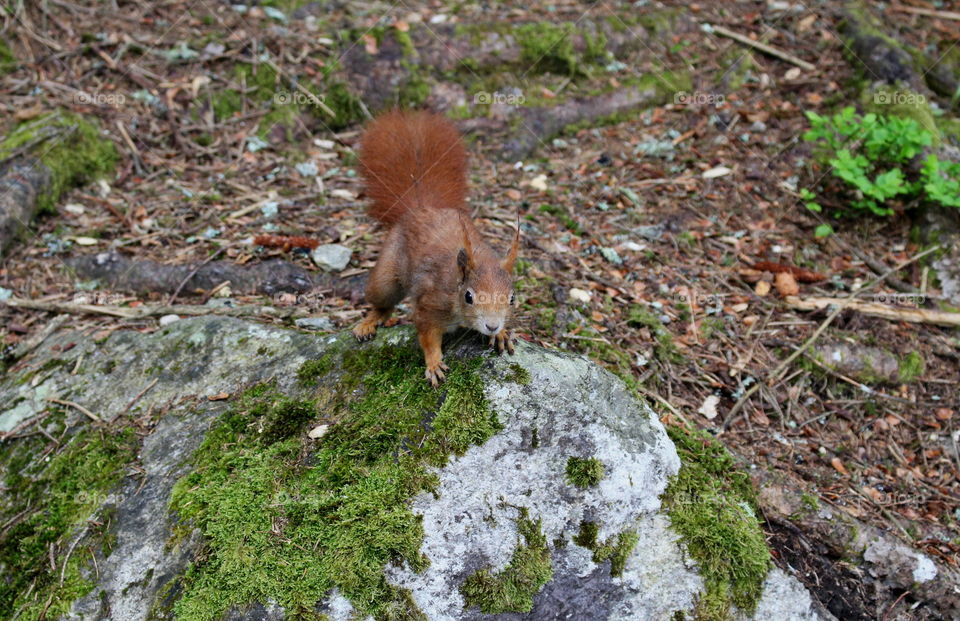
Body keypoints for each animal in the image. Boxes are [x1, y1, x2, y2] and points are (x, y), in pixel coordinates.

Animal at [350, 109, 516, 386]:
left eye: (512, 298)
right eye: (468, 296)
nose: (492, 325)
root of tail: (421, 209)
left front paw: (502, 334)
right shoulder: (429, 305)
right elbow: (427, 336)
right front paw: (434, 363)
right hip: (386, 274)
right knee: (382, 301)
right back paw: (369, 322)